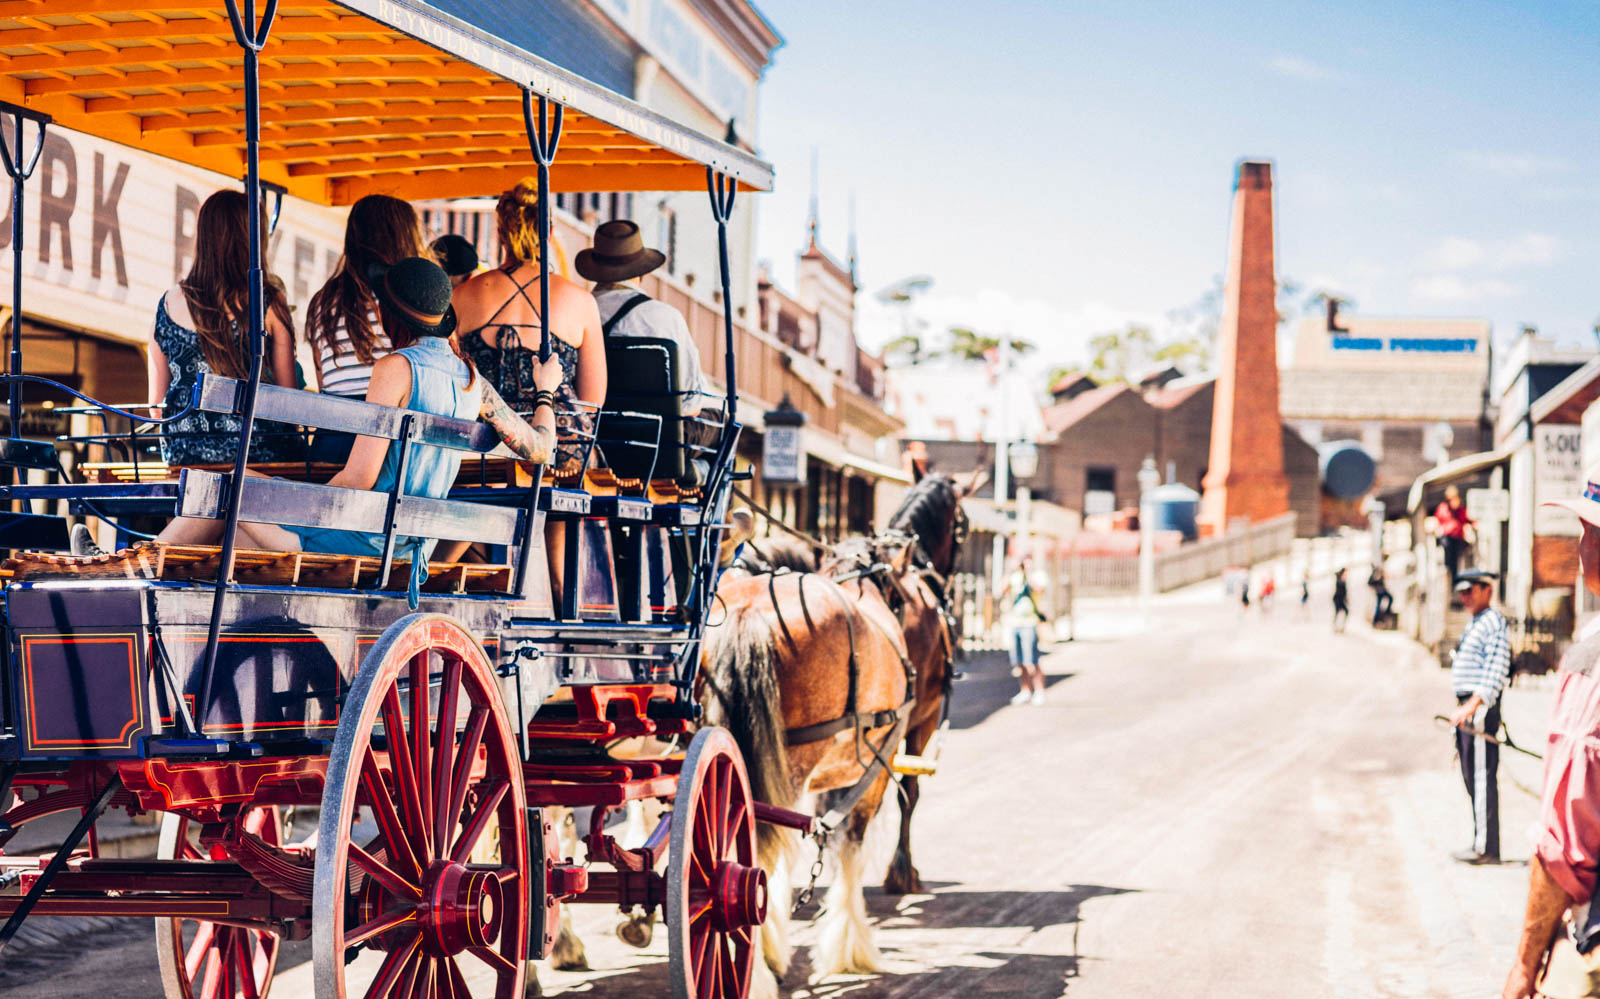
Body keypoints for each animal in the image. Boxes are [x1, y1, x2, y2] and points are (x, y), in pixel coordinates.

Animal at [704, 470, 972, 986]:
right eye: (963, 527)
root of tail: (748, 611)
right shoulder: (890, 747)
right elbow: (860, 834)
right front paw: (852, 945)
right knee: (756, 849)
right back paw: (758, 968)